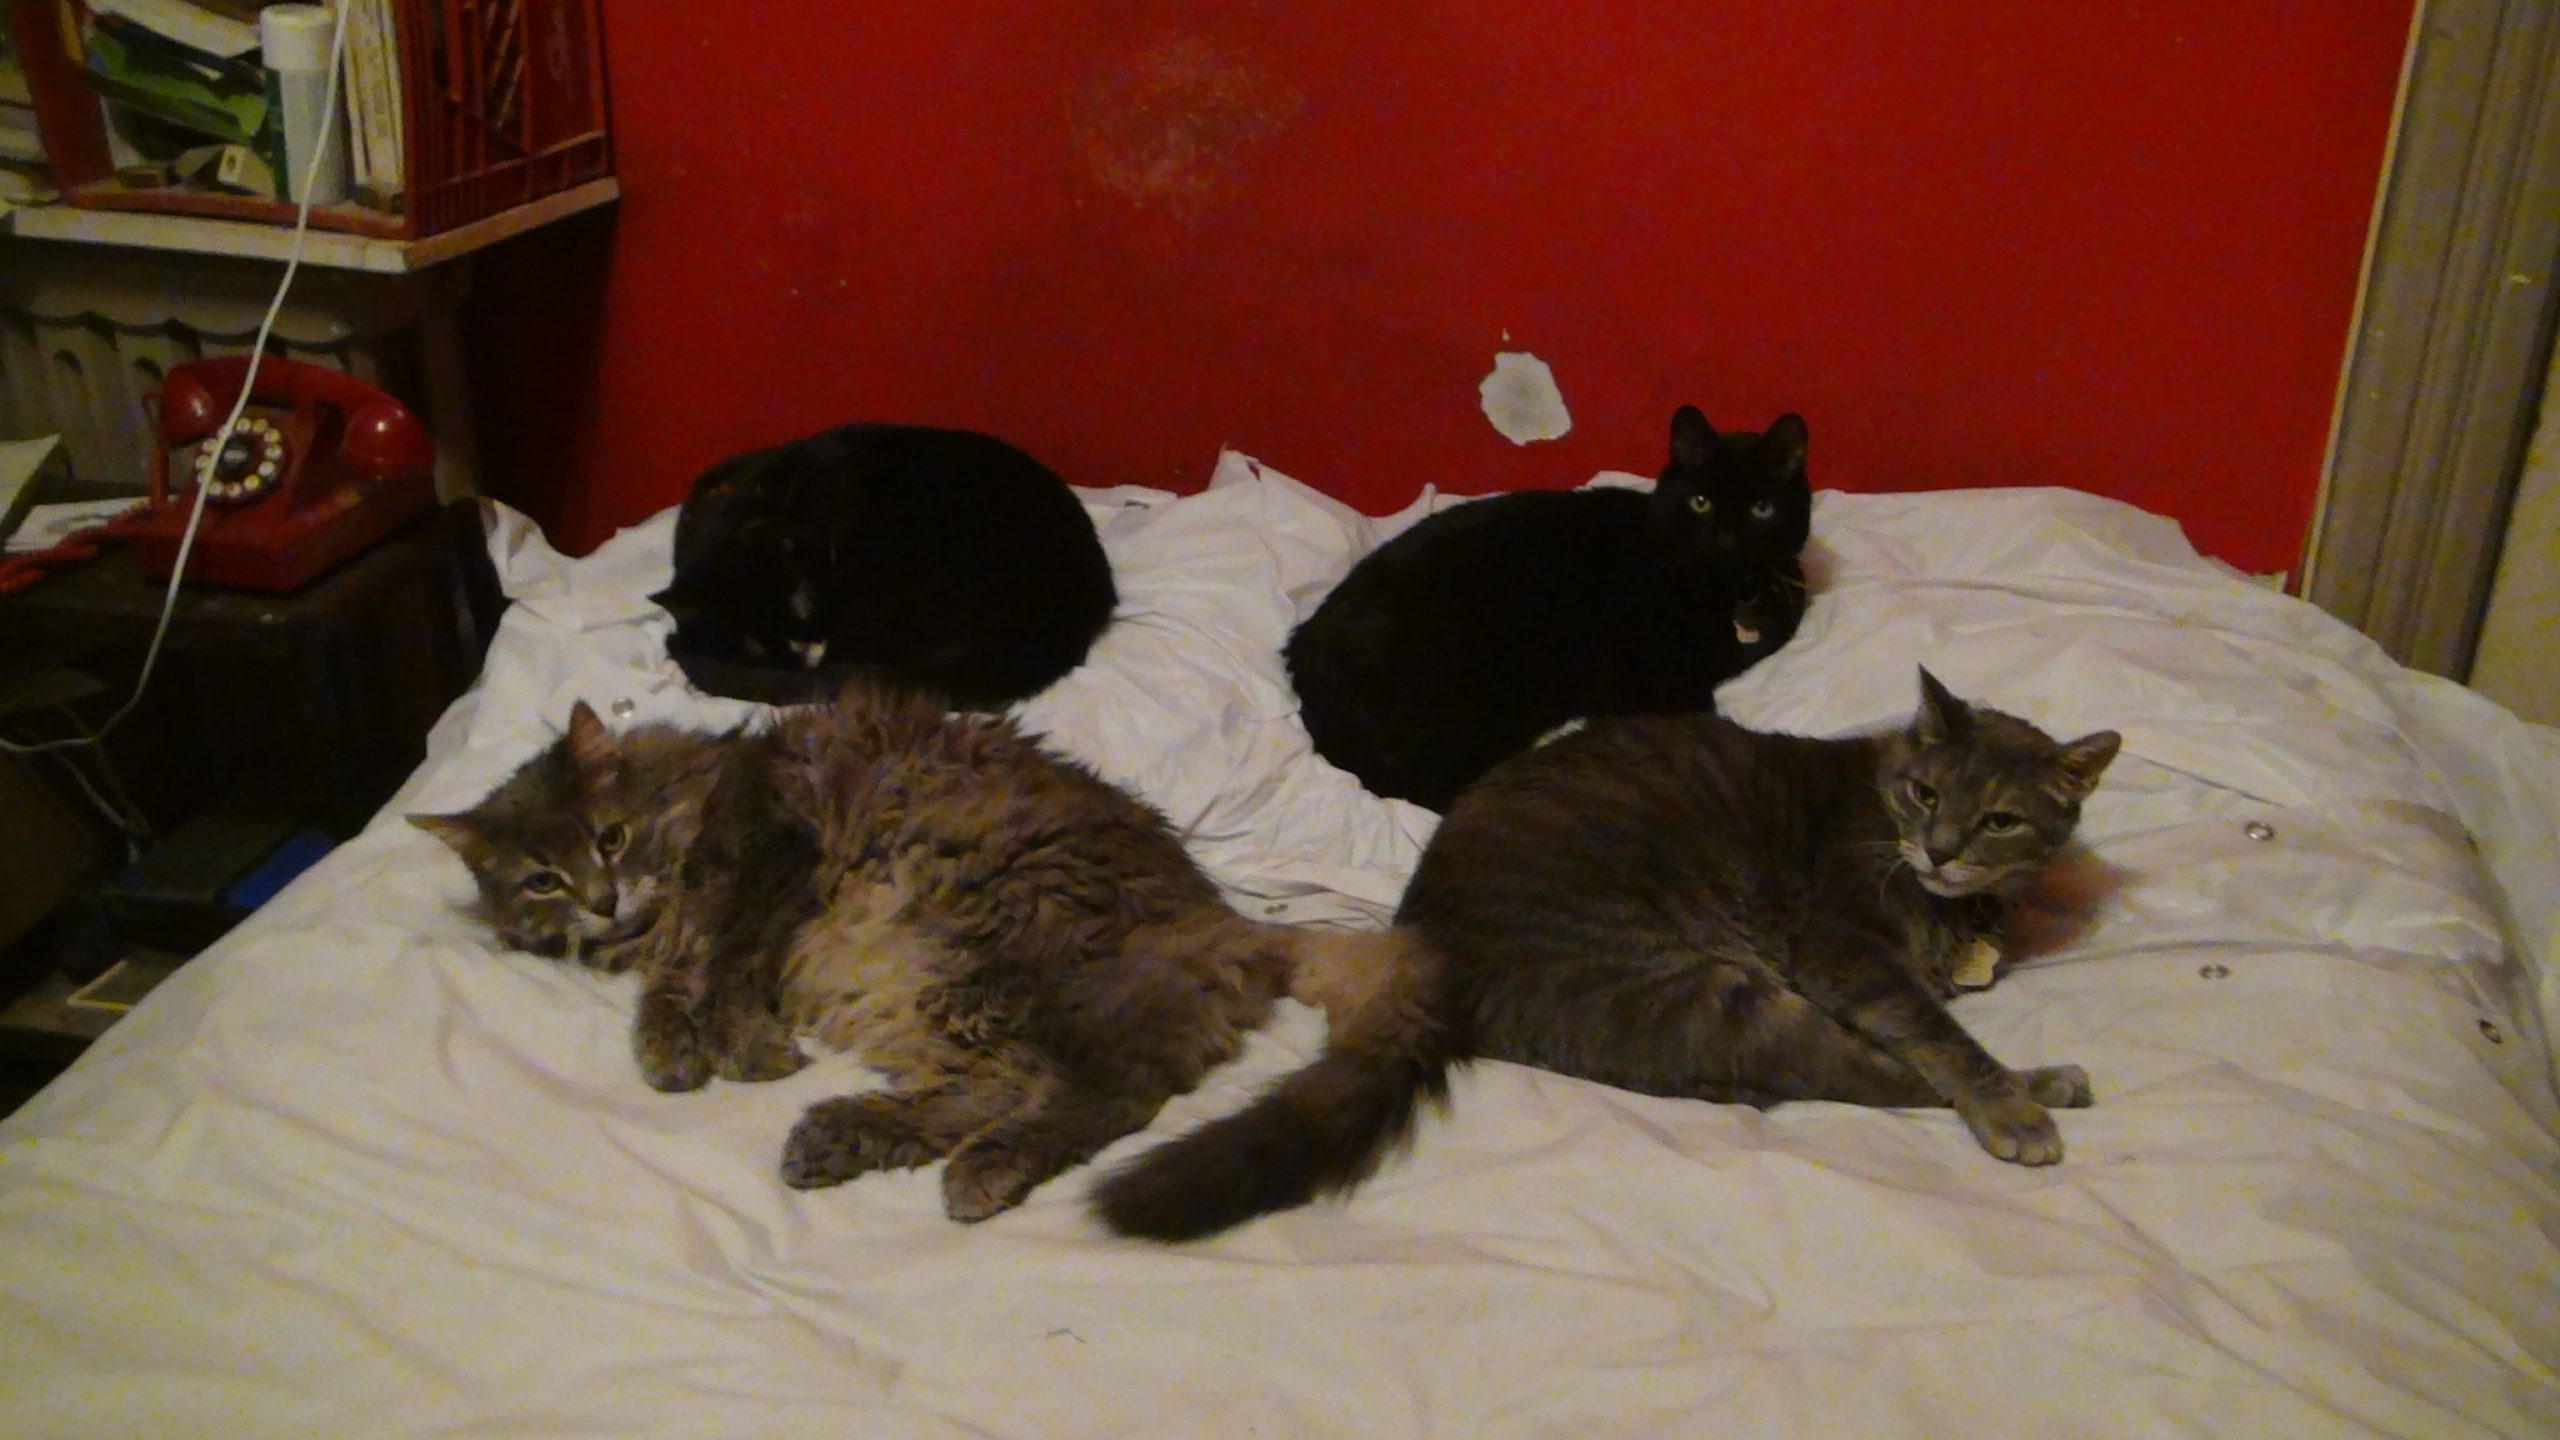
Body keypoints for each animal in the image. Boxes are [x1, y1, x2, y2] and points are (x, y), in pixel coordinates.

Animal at [411, 682, 1447, 1230]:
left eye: (610, 837)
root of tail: (1229, 924)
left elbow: (728, 963)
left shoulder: (773, 859)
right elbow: (673, 986)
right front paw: (670, 1047)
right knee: (990, 1089)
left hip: (991, 952)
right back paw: (842, 1134)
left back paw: (974, 1169)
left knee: (1098, 1097)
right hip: (939, 994)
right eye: (541, 880)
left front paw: (742, 1046)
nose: (601, 897)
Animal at [1094, 669, 2114, 1237]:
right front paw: (2006, 1106)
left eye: (1999, 819)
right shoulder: (1845, 950)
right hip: (1710, 990)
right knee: (1853, 1070)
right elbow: (1941, 1040)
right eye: (1925, 794)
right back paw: (2042, 1090)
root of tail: (1424, 958)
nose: (1938, 851)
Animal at [1281, 405, 1814, 812]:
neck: (1725, 592)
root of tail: (1302, 654)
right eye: (1701, 502)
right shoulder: (1628, 669)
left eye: (1762, 508)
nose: (1727, 542)